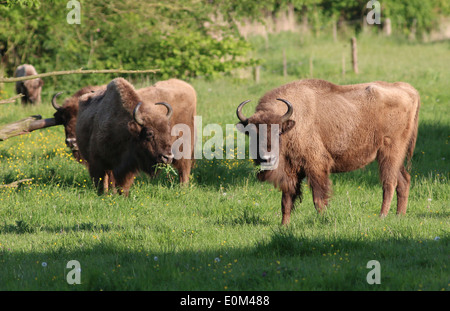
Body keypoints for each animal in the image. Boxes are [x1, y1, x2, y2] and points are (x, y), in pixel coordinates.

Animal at [237, 78, 420, 224]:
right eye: (251, 133)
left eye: (278, 132)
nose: (267, 158)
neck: (293, 124)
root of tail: (409, 90)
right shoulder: (291, 172)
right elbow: (286, 201)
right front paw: (284, 226)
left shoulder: (316, 166)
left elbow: (318, 198)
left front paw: (323, 221)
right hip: (395, 157)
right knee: (404, 180)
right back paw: (399, 216)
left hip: (389, 152)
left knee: (389, 183)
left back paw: (382, 216)